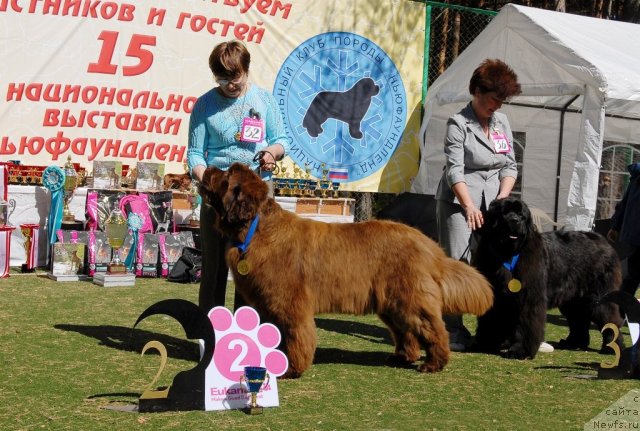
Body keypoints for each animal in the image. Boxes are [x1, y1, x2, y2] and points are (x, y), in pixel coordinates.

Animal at [200, 164, 496, 380]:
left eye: (225, 176)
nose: (209, 167)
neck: (256, 227)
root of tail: (428, 245)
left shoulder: (290, 304)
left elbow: (295, 336)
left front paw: (291, 368)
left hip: (409, 298)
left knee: (432, 330)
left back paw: (434, 363)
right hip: (391, 303)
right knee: (406, 333)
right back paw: (402, 357)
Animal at [472, 197, 624, 360]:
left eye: (521, 215)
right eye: (504, 213)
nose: (515, 221)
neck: (507, 254)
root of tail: (603, 241)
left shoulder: (528, 298)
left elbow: (525, 324)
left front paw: (519, 350)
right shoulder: (496, 294)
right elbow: (492, 318)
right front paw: (487, 342)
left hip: (597, 297)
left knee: (609, 318)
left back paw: (610, 347)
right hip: (573, 299)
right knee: (578, 319)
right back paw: (573, 343)